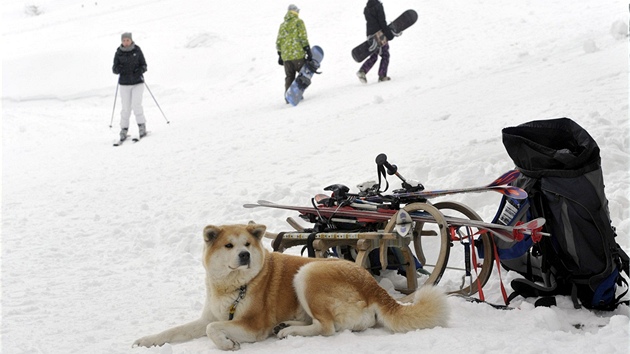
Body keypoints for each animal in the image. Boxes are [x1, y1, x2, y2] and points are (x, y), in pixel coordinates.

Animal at [132, 223, 450, 350]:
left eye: (247, 244)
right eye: (229, 246)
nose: (245, 255)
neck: (236, 285)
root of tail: (374, 286)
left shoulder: (252, 326)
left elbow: (214, 330)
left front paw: (226, 343)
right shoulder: (208, 317)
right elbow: (174, 331)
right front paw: (146, 340)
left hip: (307, 274)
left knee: (326, 328)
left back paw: (289, 332)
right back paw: (285, 326)